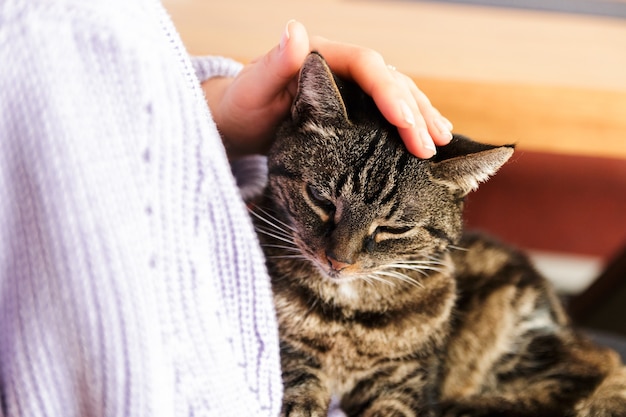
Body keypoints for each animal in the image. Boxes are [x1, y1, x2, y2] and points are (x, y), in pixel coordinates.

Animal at [249, 52, 624, 416]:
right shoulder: (288, 355)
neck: (347, 315)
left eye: (394, 229)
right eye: (320, 198)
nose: (338, 262)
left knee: (593, 366)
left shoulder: (403, 381)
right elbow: (298, 391)